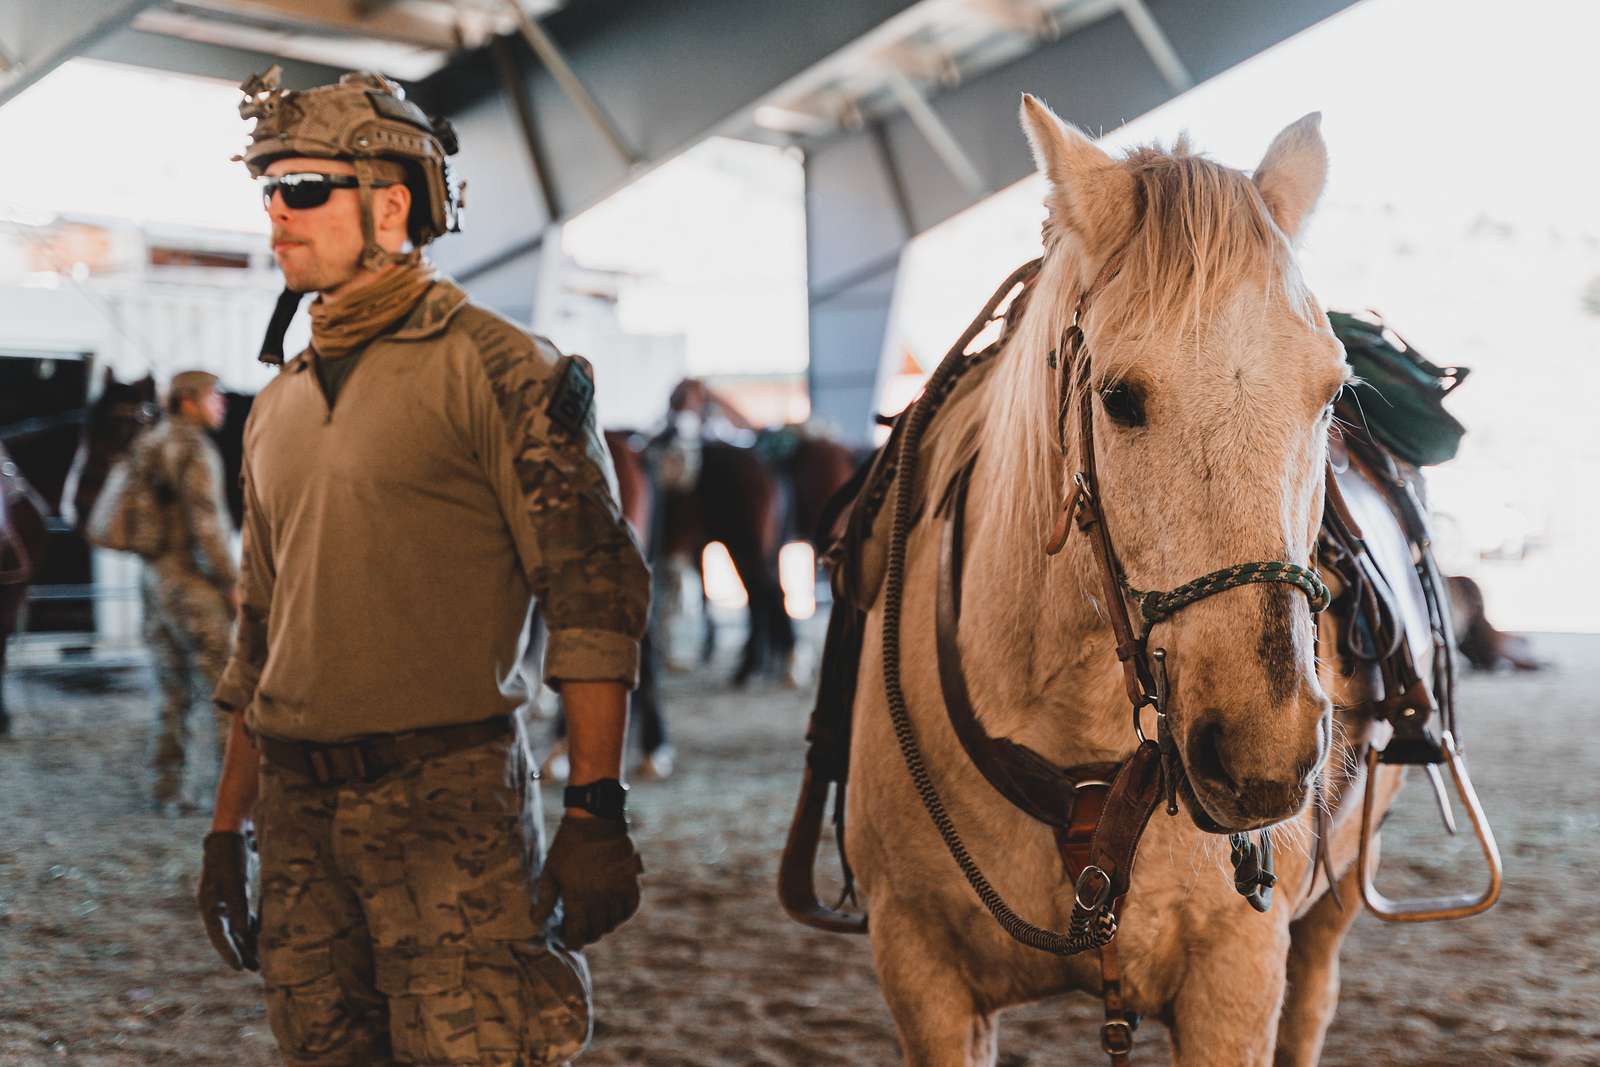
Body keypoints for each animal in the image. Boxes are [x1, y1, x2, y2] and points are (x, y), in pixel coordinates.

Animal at [800, 97, 1497, 1062]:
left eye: (1329, 395)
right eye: (1119, 397)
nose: (1262, 753)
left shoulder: (1236, 979)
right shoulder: (920, 970)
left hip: (1337, 900)